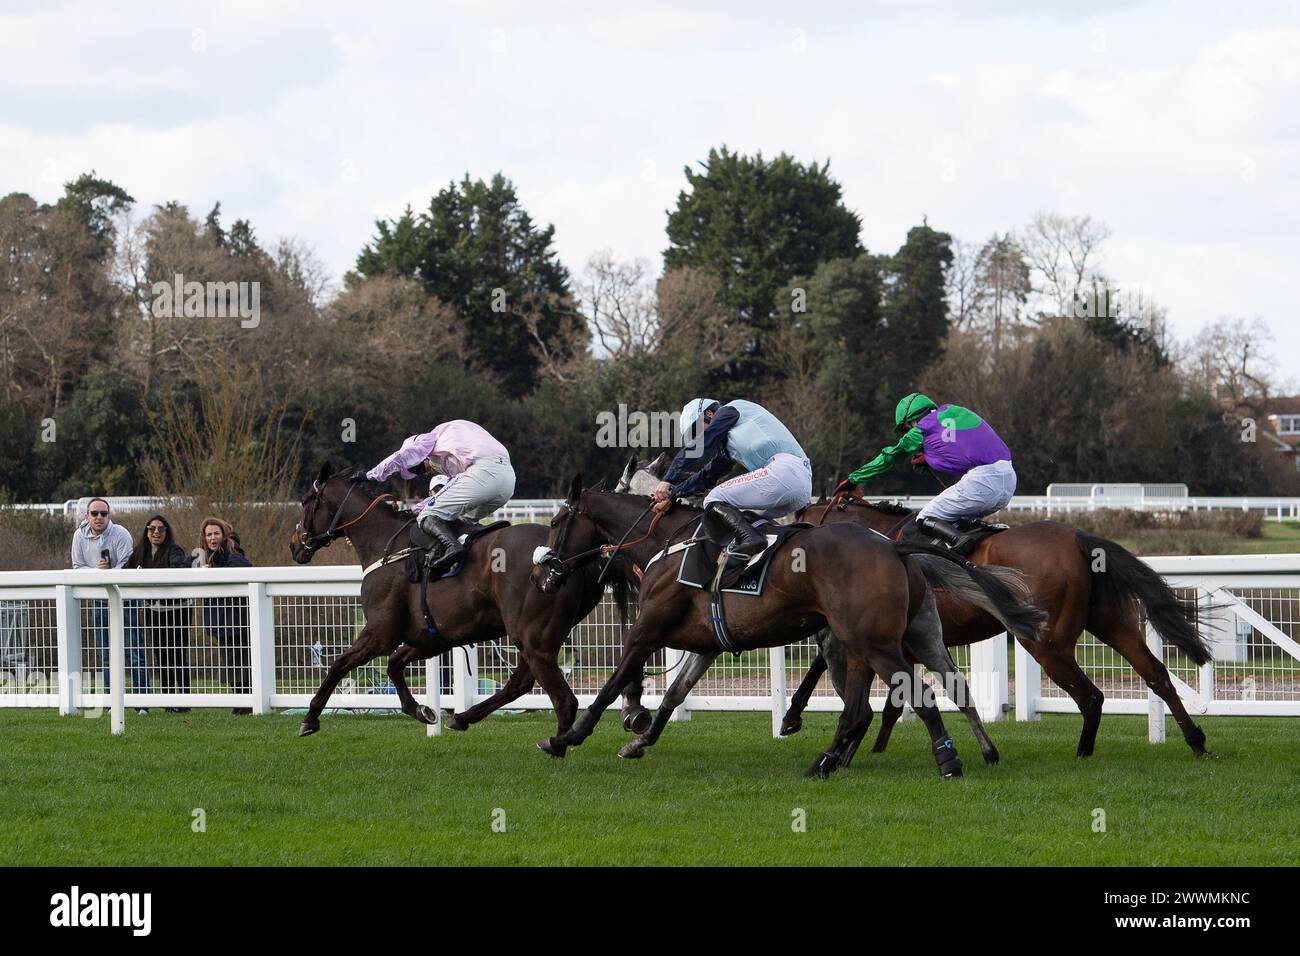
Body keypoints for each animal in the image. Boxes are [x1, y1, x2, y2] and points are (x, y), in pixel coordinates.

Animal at [287, 463, 637, 738]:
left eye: (305, 501)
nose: (294, 545)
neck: (386, 545)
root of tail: (576, 559)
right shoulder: (431, 636)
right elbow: (394, 665)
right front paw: (422, 711)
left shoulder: (380, 632)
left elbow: (339, 664)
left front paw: (310, 718)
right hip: (536, 635)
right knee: (519, 683)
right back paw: (465, 716)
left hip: (532, 635)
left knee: (561, 698)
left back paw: (558, 745)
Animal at [527, 476, 1045, 780]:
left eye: (556, 521)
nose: (542, 572)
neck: (669, 542)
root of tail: (894, 547)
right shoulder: (705, 644)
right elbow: (674, 694)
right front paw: (639, 739)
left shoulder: (647, 629)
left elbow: (611, 685)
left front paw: (566, 738)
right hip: (902, 636)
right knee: (921, 693)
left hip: (873, 642)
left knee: (913, 695)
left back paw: (946, 759)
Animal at [780, 496, 1216, 759]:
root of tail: (1078, 536)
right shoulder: (903, 641)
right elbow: (894, 701)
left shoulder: (875, 634)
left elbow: (826, 668)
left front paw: (795, 718)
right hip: (1111, 621)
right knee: (1156, 674)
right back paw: (1196, 741)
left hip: (1045, 642)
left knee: (1091, 696)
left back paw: (1083, 753)